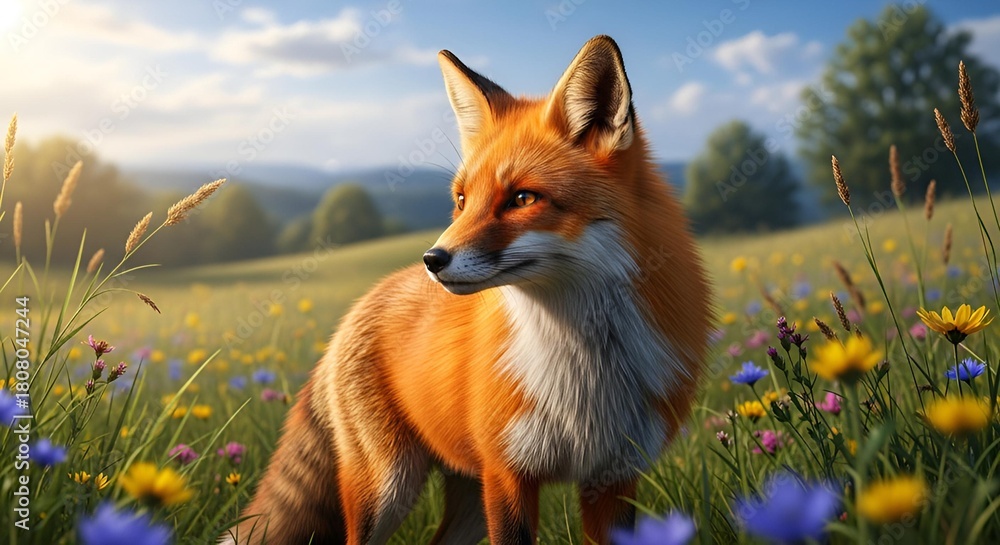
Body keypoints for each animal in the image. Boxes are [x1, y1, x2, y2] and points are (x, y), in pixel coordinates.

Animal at [224, 35, 711, 545]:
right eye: (461, 200)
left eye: (522, 198)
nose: (433, 260)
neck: (583, 371)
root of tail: (362, 303)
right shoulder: (508, 474)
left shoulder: (612, 478)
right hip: (390, 486)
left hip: (469, 500)